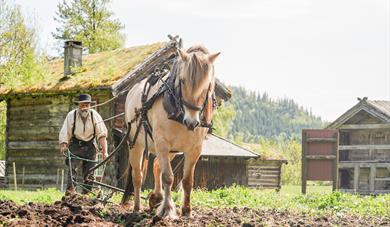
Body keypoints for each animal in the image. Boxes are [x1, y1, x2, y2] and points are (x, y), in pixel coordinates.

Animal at [122, 45, 219, 217]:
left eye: (207, 84)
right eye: (182, 81)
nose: (191, 122)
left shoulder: (194, 149)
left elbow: (187, 181)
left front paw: (186, 210)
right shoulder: (161, 142)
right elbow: (168, 177)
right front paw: (167, 209)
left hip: (173, 149)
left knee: (156, 165)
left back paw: (156, 197)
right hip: (136, 144)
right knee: (137, 176)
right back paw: (137, 208)